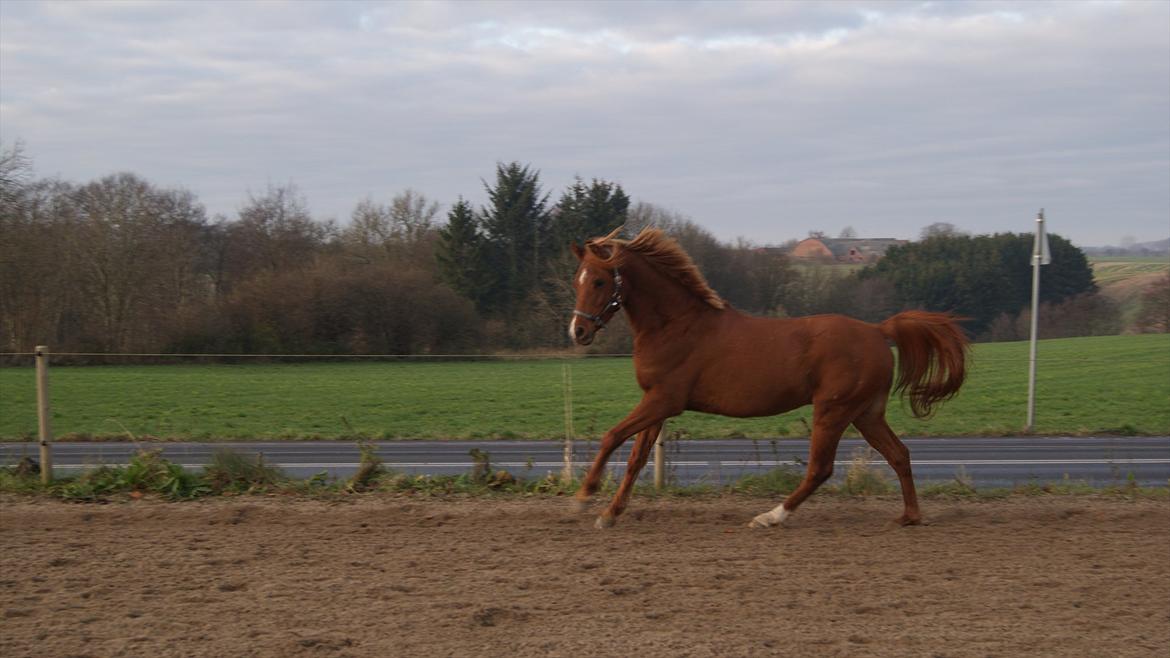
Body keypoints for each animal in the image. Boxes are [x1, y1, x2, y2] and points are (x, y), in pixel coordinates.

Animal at [568, 224, 968, 526]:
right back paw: (910, 516)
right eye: (578, 280)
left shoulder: (664, 399)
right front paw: (610, 513)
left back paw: (771, 516)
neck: (676, 324)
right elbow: (635, 458)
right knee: (899, 454)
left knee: (821, 468)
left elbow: (611, 436)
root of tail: (877, 330)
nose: (578, 332)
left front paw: (584, 496)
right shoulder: (656, 403)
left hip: (833, 411)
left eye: (600, 281)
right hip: (866, 413)